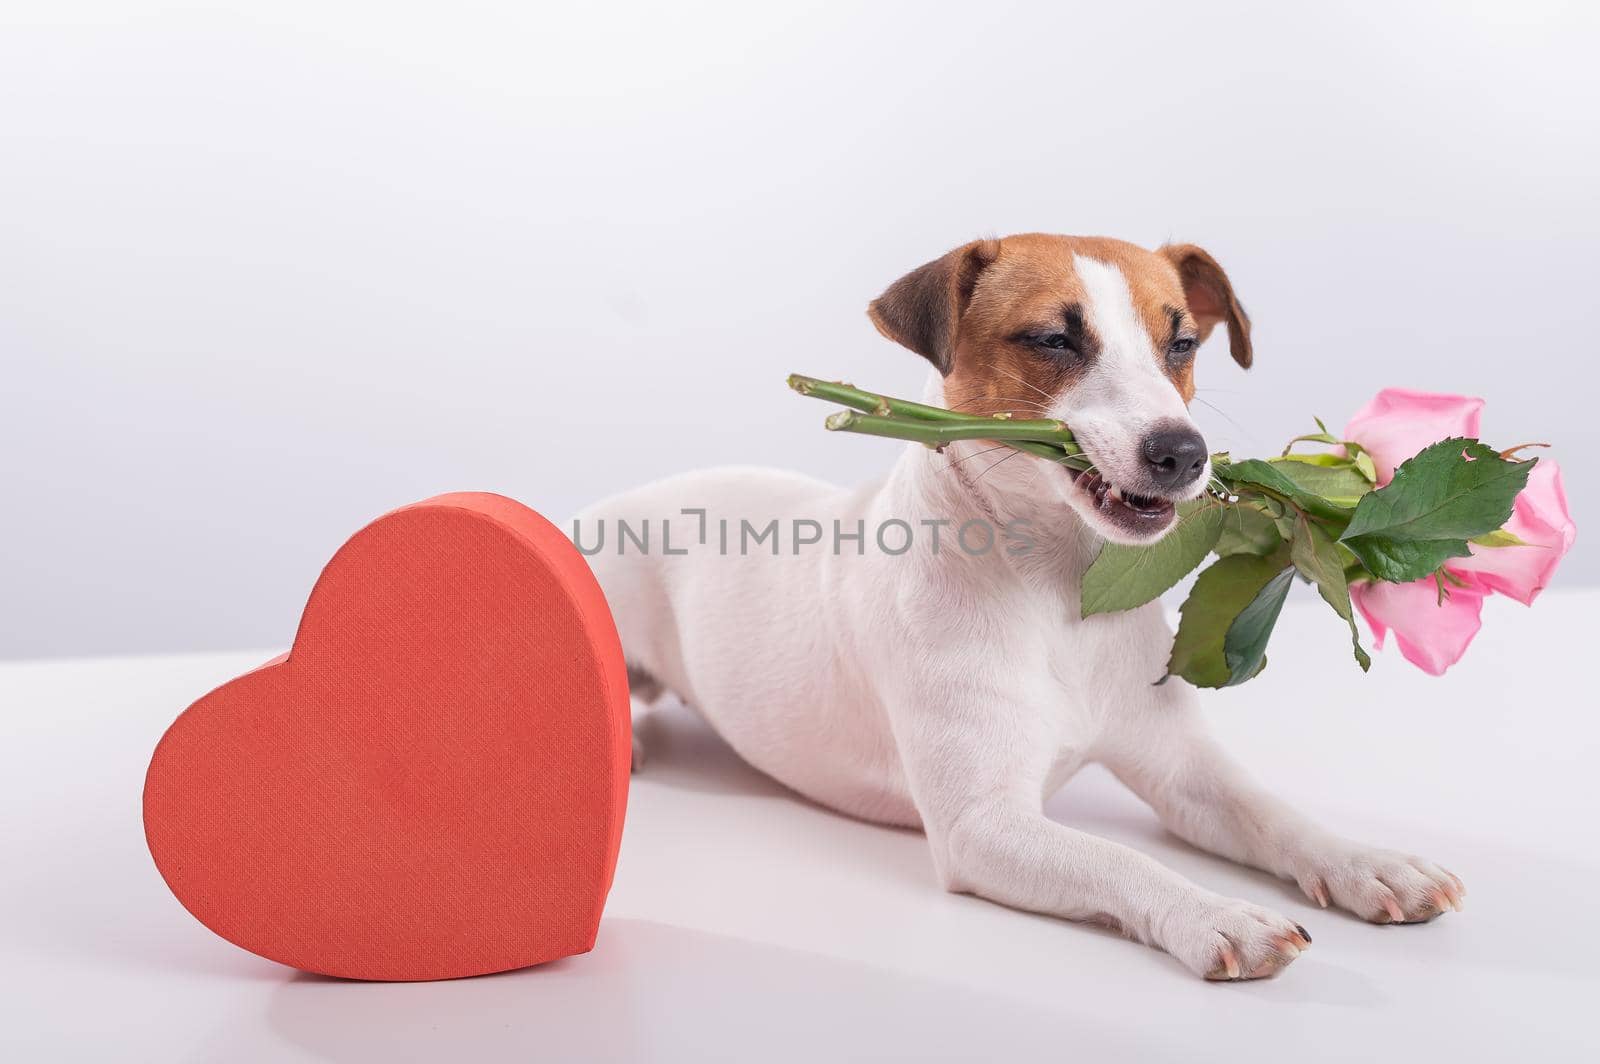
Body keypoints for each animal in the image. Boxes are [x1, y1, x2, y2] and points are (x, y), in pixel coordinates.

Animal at [576, 235, 1465, 979]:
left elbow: (1269, 809)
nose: (1183, 453)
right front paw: (1215, 914)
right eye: (1053, 340)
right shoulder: (983, 827)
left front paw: (1369, 862)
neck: (1056, 586)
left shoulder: (1184, 770)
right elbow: (1120, 858)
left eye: (1181, 344)